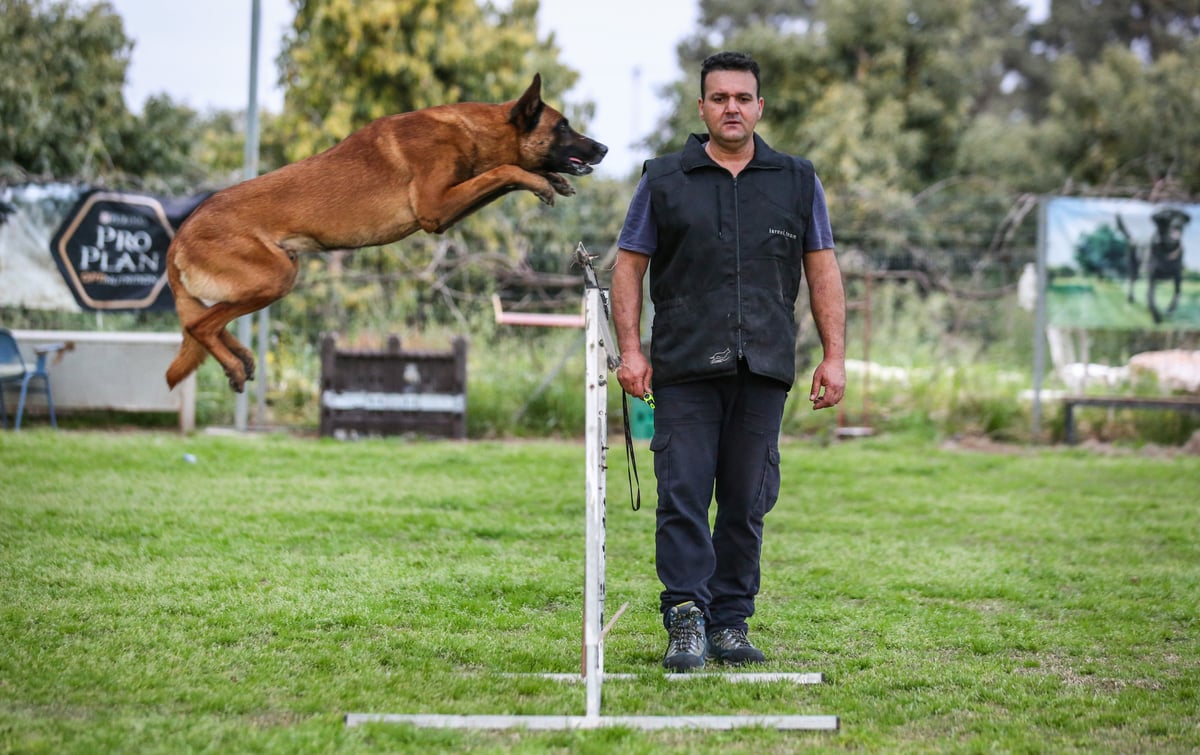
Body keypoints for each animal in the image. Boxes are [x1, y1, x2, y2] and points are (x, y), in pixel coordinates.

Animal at [163, 73, 604, 391]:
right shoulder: (435, 210)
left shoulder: (449, 205)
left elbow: (503, 176)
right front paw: (541, 182)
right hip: (275, 276)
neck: (473, 130)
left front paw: (550, 179)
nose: (604, 149)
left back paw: (240, 358)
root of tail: (180, 235)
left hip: (274, 276)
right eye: (563, 126)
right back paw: (235, 366)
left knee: (207, 323)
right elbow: (504, 171)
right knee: (200, 325)